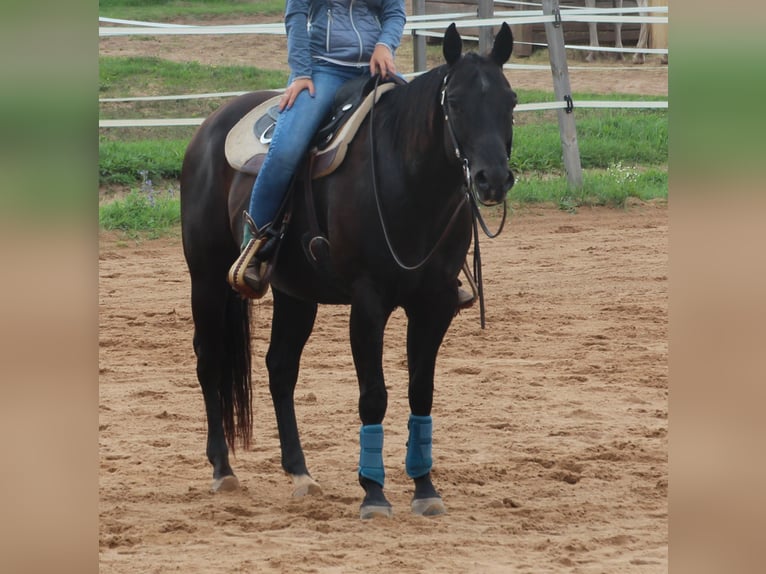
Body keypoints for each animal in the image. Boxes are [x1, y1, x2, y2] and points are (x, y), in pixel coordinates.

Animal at [179, 22, 517, 519]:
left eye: (510, 101)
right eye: (454, 101)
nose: (492, 179)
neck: (407, 180)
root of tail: (209, 127)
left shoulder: (434, 303)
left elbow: (421, 390)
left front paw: (424, 488)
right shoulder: (368, 302)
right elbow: (373, 395)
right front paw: (373, 492)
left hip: (296, 294)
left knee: (280, 367)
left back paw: (300, 473)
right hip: (205, 279)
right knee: (210, 360)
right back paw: (223, 470)